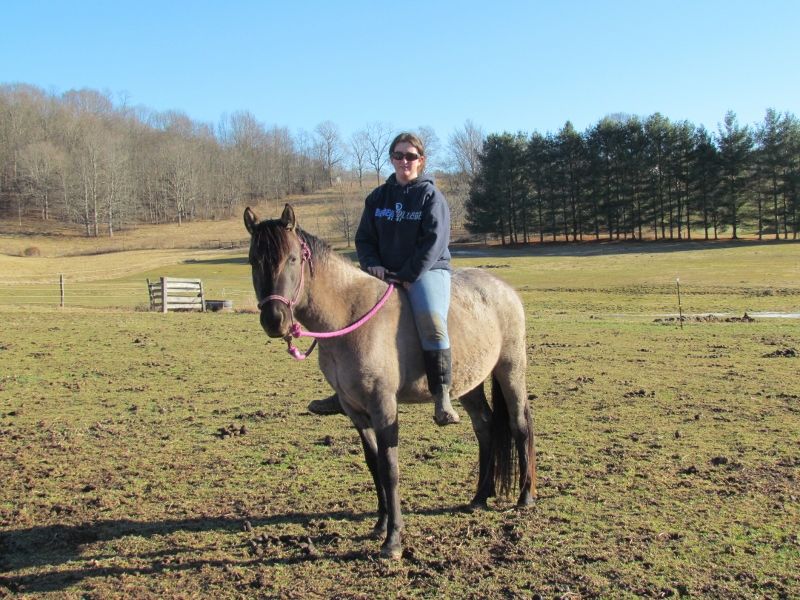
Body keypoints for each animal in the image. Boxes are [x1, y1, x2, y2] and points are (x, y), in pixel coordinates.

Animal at [244, 204, 536, 560]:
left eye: (292, 259)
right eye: (253, 260)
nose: (274, 320)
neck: (349, 317)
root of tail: (503, 289)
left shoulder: (383, 406)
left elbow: (390, 468)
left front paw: (393, 539)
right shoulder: (355, 410)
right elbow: (374, 466)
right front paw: (380, 524)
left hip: (510, 369)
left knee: (520, 426)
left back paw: (525, 497)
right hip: (470, 385)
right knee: (486, 427)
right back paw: (480, 497)